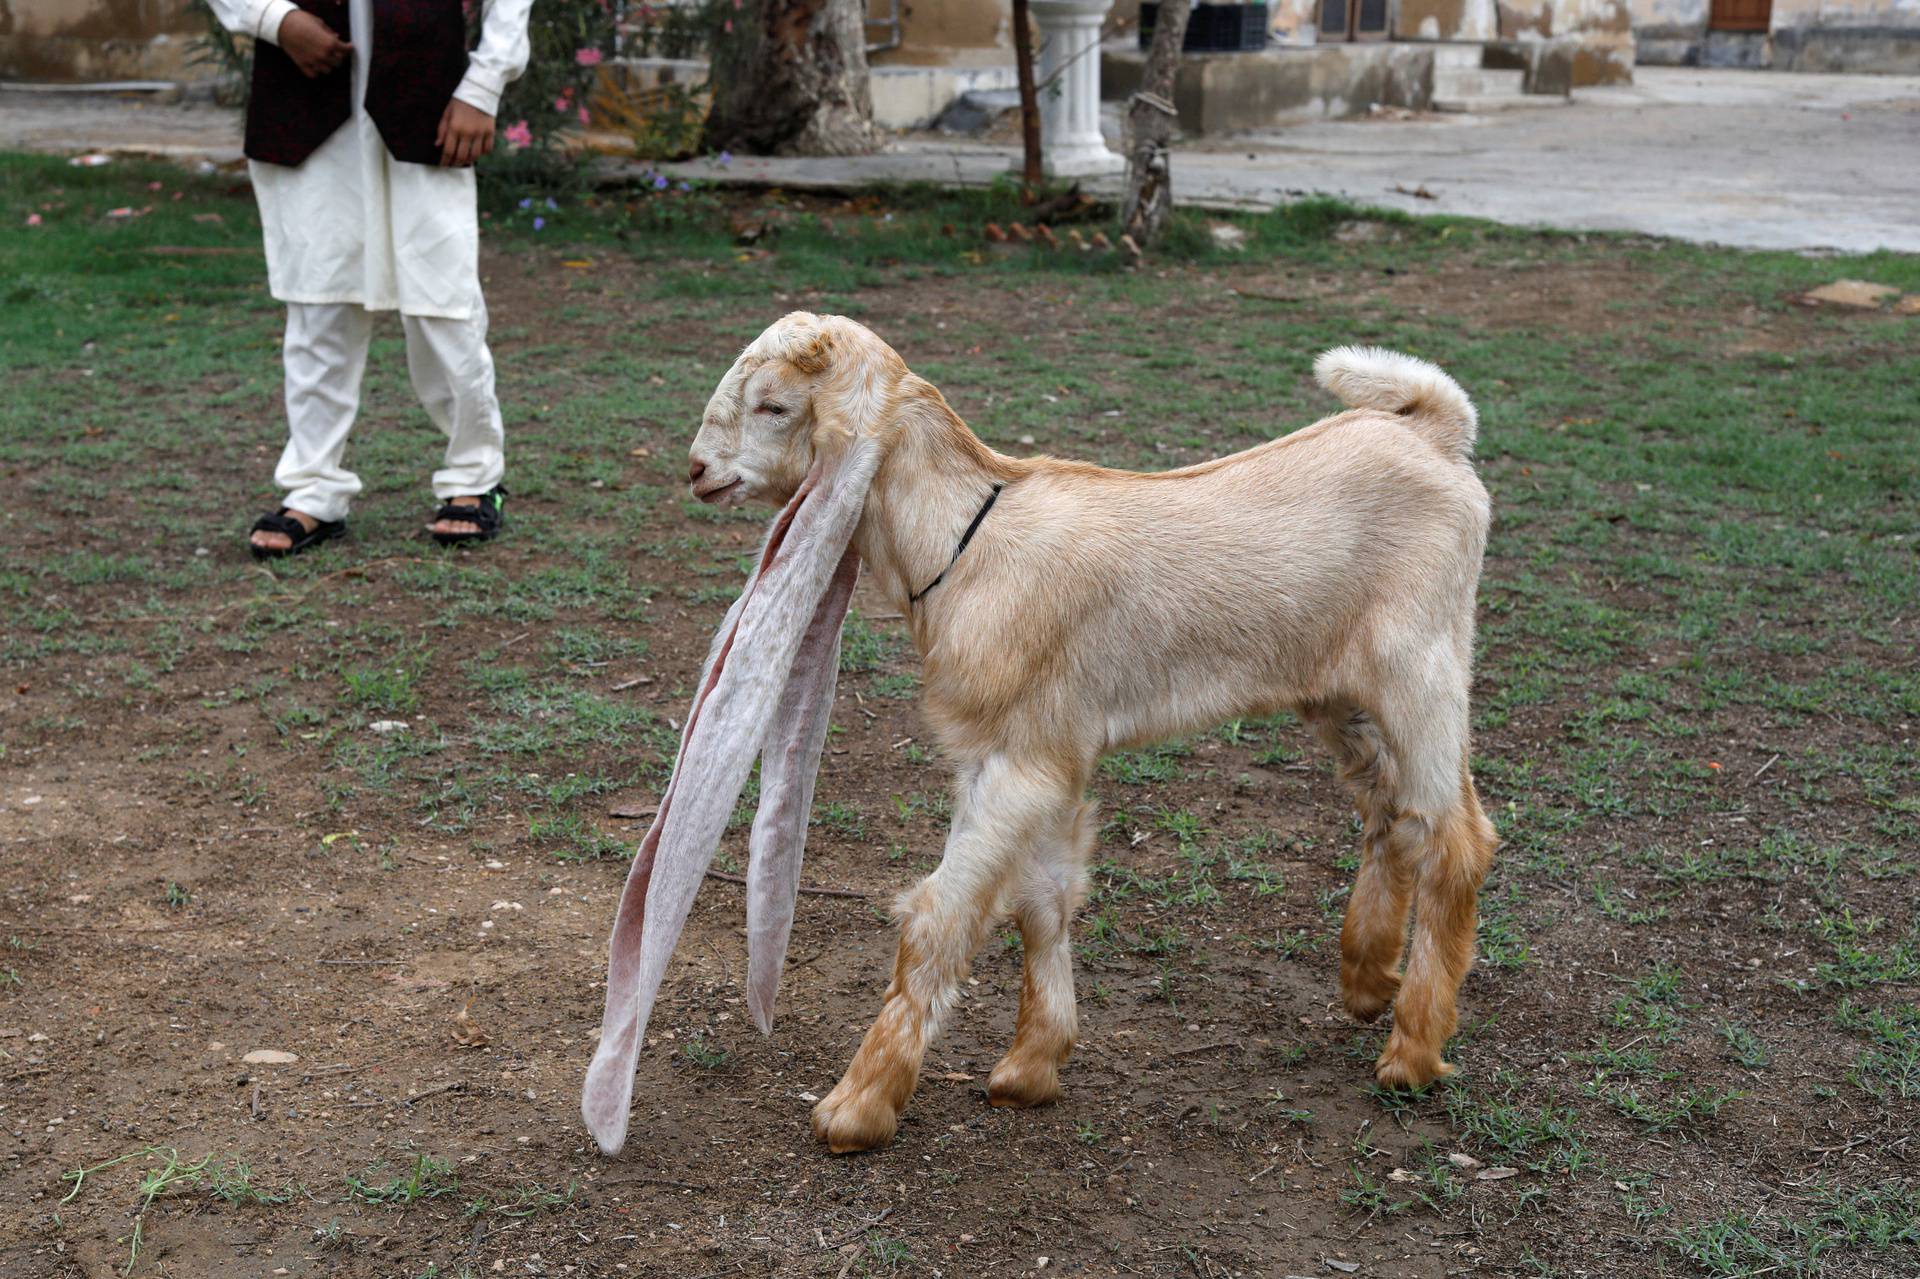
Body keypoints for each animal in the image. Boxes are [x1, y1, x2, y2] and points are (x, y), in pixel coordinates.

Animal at [579, 311, 1497, 1152]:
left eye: (773, 405)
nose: (697, 471)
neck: (967, 542)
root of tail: (1436, 434)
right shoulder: (1039, 752)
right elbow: (1044, 898)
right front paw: (1031, 1066)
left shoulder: (1018, 761)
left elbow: (937, 917)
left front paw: (858, 1105)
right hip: (1340, 691)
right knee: (1390, 813)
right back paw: (1367, 978)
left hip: (1421, 665)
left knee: (1455, 835)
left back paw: (1413, 1050)